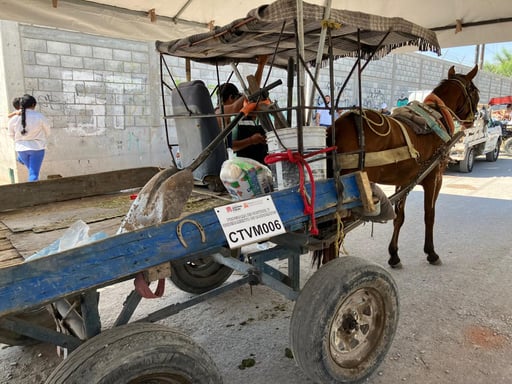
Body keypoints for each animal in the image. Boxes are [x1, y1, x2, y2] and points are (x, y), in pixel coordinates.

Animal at [320, 65, 480, 268]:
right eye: (474, 91)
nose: (475, 117)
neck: (436, 115)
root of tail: (337, 127)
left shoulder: (405, 181)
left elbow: (399, 216)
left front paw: (394, 254)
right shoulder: (434, 177)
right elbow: (430, 215)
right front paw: (431, 252)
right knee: (333, 240)